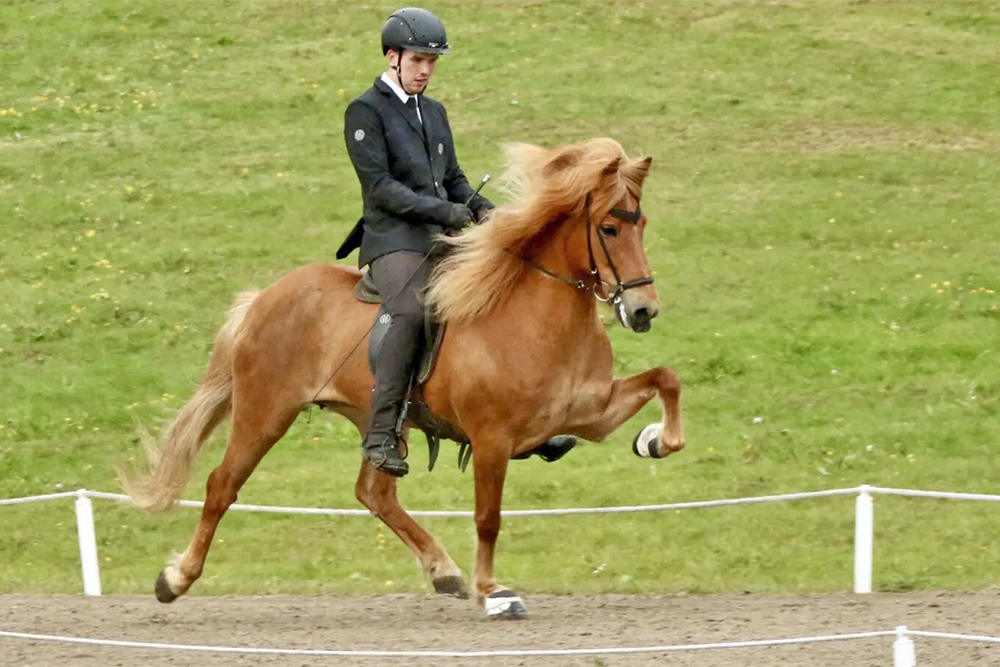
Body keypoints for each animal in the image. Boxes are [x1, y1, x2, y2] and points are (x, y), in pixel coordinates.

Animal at [121, 137, 688, 620]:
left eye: (641, 223)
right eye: (609, 229)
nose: (643, 310)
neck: (536, 317)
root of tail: (264, 299)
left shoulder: (590, 415)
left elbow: (667, 378)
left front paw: (656, 440)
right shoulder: (492, 440)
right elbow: (488, 517)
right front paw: (493, 592)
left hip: (377, 421)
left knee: (374, 493)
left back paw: (443, 571)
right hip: (266, 412)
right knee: (222, 485)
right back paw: (174, 580)